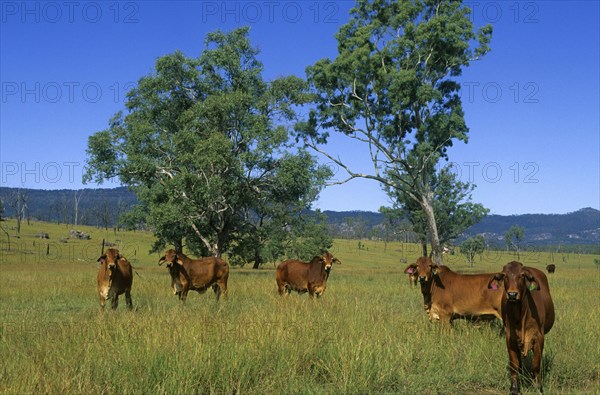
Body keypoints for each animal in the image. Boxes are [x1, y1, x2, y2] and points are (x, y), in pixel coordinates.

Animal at [490, 262, 556, 394]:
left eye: (522, 275)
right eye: (504, 275)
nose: (512, 294)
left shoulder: (539, 337)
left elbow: (536, 363)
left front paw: (538, 387)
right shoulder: (510, 337)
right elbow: (514, 364)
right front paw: (514, 388)